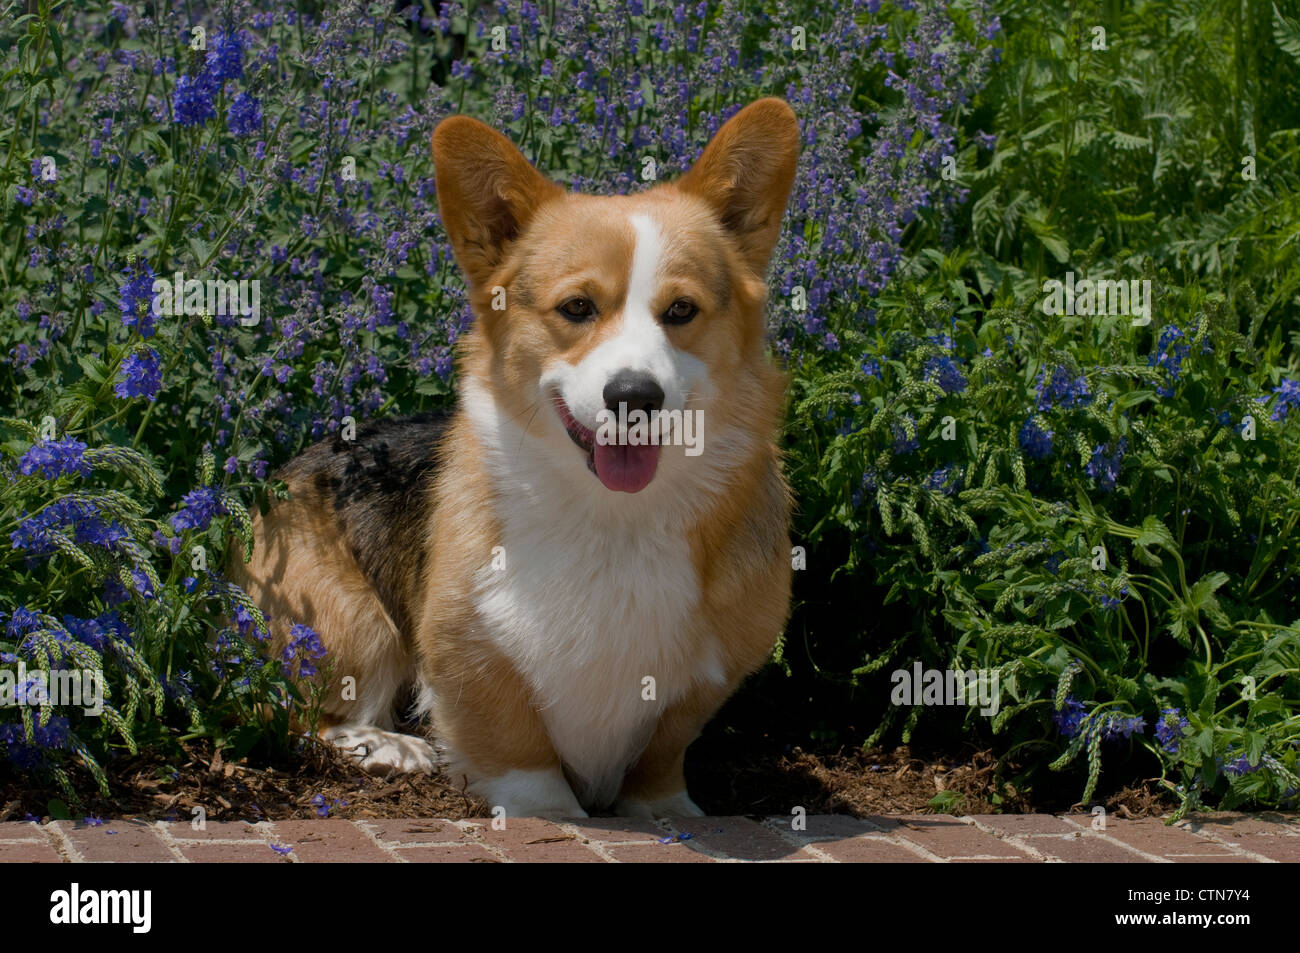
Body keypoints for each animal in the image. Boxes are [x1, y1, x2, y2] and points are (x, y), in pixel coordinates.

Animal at [231, 96, 800, 816]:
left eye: (681, 310)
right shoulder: (466, 647)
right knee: (298, 713)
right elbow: (515, 742)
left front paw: (664, 809)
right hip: (351, 624)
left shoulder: (709, 674)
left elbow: (664, 747)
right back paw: (385, 745)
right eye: (577, 307)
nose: (634, 396)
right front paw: (548, 810)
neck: (613, 520)